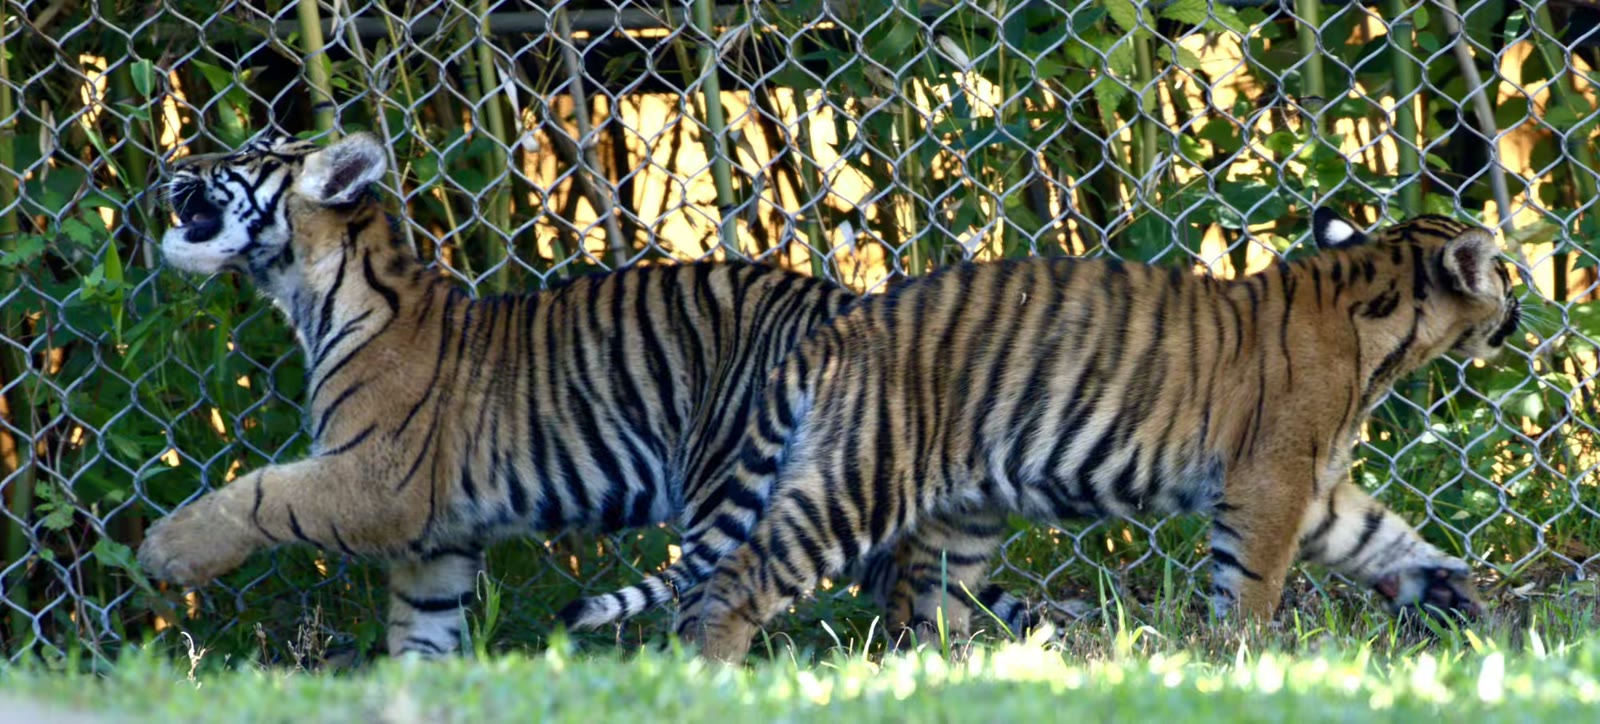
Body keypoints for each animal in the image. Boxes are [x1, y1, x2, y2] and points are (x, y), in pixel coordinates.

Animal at [135, 131, 870, 656]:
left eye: (242, 155)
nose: (173, 159)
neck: (312, 294)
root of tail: (840, 302)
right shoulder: (439, 545)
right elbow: (421, 639)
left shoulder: (378, 482)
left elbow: (263, 492)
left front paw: (168, 548)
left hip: (732, 483)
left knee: (724, 610)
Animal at [666, 208, 1521, 662]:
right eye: (1506, 272)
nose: (1523, 303)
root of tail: (841, 327)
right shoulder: (1271, 483)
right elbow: (1251, 584)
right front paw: (1242, 656)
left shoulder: (1316, 491)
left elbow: (1386, 538)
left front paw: (1458, 596)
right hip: (857, 479)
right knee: (741, 577)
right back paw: (716, 673)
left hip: (962, 516)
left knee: (928, 606)